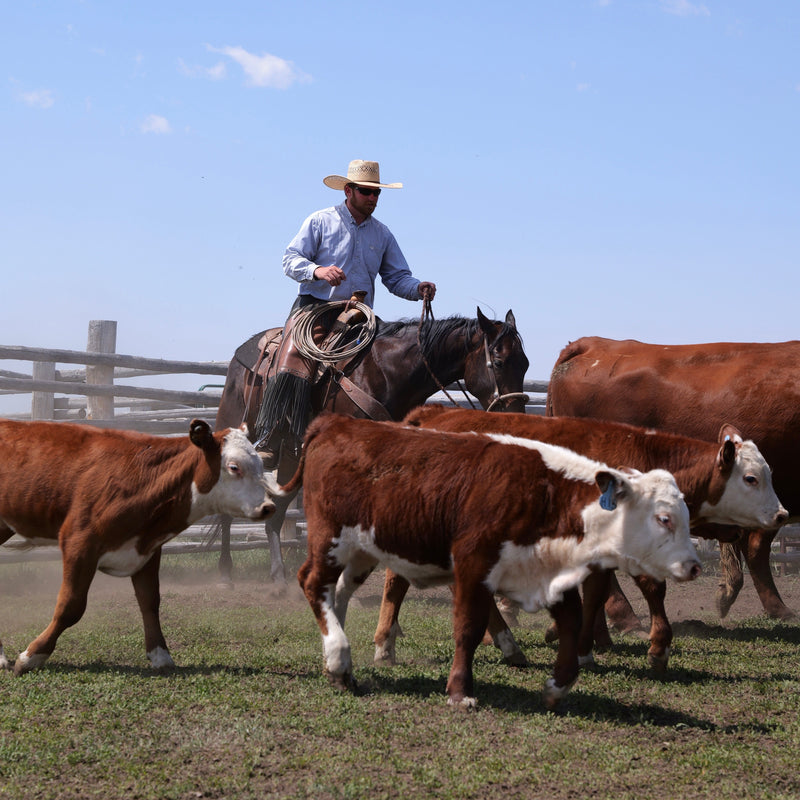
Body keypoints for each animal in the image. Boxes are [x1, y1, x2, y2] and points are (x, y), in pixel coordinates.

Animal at [0, 419, 279, 675]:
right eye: (234, 467)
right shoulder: (78, 542)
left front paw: (160, 654)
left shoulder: (147, 550)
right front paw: (31, 656)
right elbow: (71, 606)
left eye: (261, 466)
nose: (269, 507)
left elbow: (150, 601)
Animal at [288, 413, 700, 709]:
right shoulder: (474, 566)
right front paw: (460, 691)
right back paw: (339, 659)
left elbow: (571, 623)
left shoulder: (549, 573)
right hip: (329, 537)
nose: (694, 566)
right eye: (665, 518)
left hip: (361, 550)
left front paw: (556, 686)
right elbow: (468, 628)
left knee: (338, 591)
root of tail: (336, 423)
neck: (545, 494)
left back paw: (338, 663)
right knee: (312, 582)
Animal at [373, 405, 787, 672]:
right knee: (396, 579)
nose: (782, 515)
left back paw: (507, 645)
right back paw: (385, 646)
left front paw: (580, 645)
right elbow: (651, 587)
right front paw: (658, 646)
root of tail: (430, 415)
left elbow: (598, 594)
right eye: (751, 478)